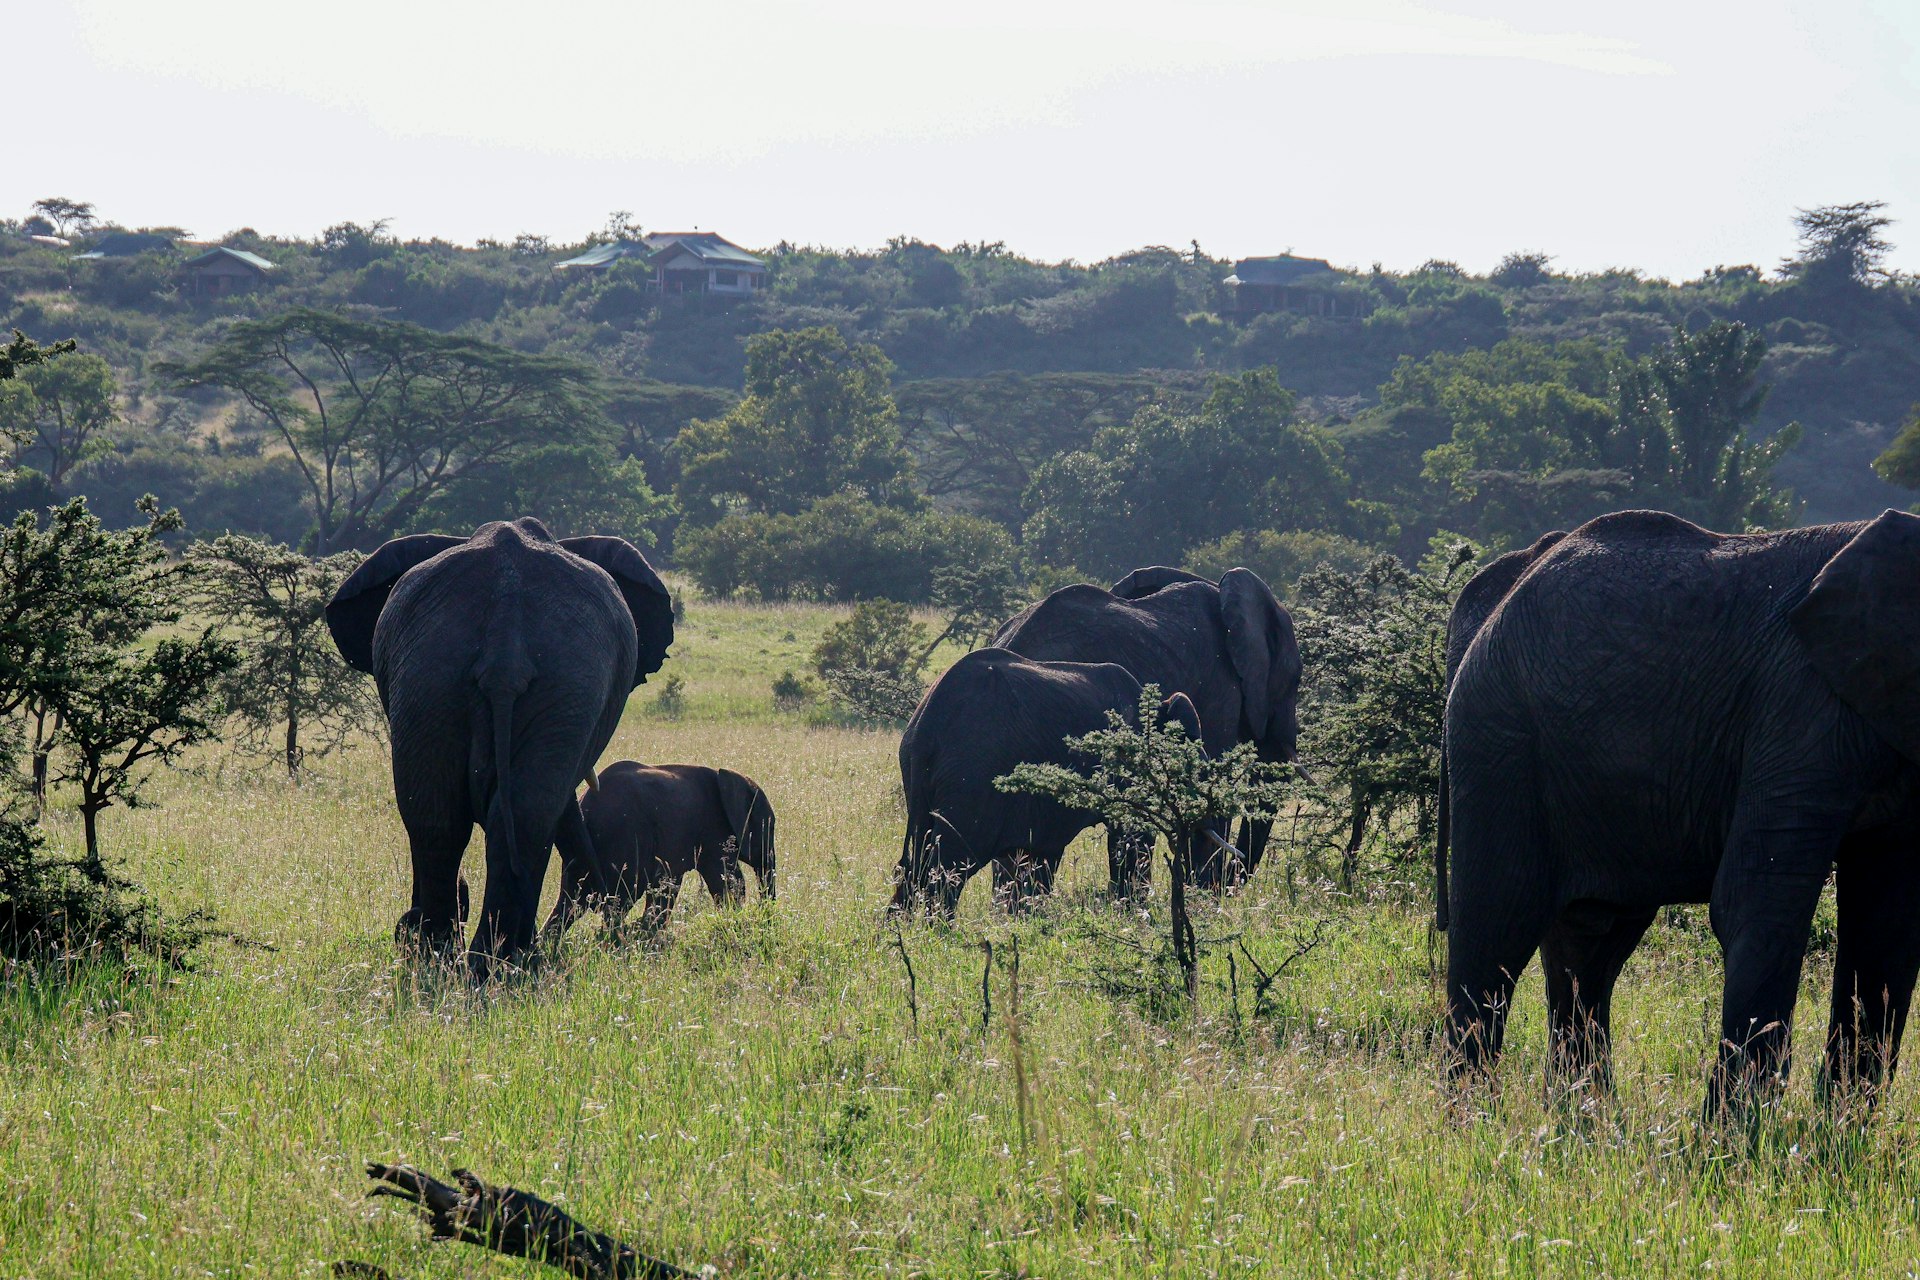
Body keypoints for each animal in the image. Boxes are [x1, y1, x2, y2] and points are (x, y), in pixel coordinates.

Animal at [326, 517, 673, 975]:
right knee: (513, 815)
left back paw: (454, 959)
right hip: (548, 679)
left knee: (441, 816)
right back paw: (496, 962)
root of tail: (505, 639)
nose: (603, 896)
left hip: (437, 674)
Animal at [543, 762, 776, 939]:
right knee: (620, 900)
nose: (765, 914)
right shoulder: (713, 829)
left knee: (571, 902)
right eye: (770, 827)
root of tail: (586, 806)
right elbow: (729, 881)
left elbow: (668, 886)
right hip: (624, 839)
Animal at [892, 647, 1203, 916]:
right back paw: (940, 930)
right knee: (951, 864)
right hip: (970, 776)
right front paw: (1134, 914)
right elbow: (1133, 838)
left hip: (922, 776)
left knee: (914, 863)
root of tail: (925, 726)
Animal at [1442, 508, 1920, 1110]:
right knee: (1496, 929)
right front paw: (1742, 1134)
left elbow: (1888, 928)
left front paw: (1840, 1131)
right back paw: (1474, 1120)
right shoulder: (1800, 706)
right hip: (1498, 741)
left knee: (1591, 946)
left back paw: (1584, 1122)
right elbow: (1759, 903)